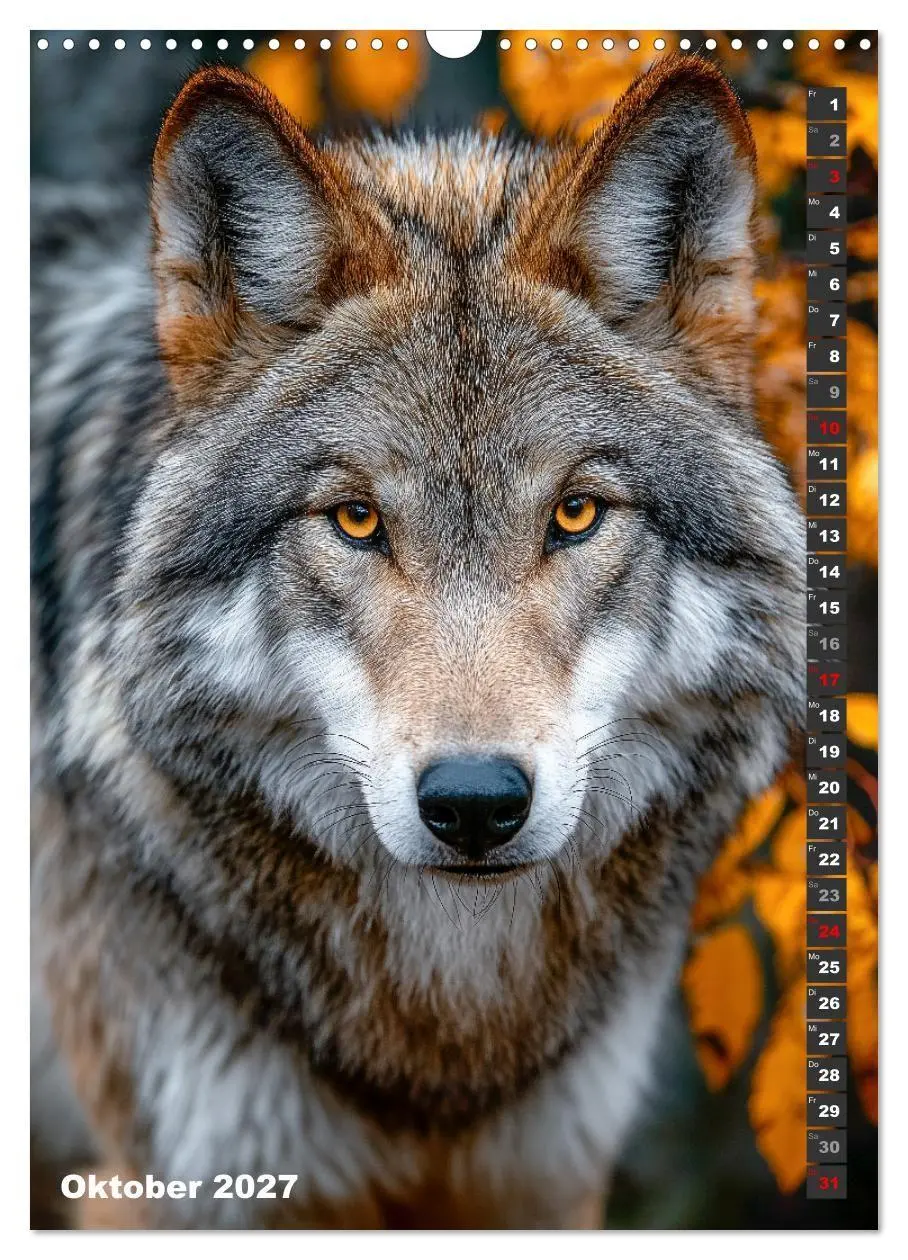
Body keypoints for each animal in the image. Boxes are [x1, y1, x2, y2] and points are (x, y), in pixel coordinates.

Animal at [31, 55, 804, 1228]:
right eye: (356, 520)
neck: (442, 1041)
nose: (475, 804)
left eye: (576, 514)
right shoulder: (173, 1180)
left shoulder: (545, 1177)